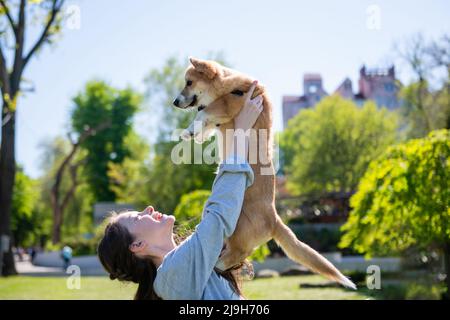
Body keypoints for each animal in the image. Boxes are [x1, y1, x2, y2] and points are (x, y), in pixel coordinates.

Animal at [174, 57, 356, 290]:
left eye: (189, 82)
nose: (174, 102)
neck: (229, 85)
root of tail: (274, 218)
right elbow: (204, 120)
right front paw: (193, 133)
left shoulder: (231, 103)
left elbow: (205, 110)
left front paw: (191, 128)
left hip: (239, 230)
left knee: (238, 252)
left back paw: (217, 266)